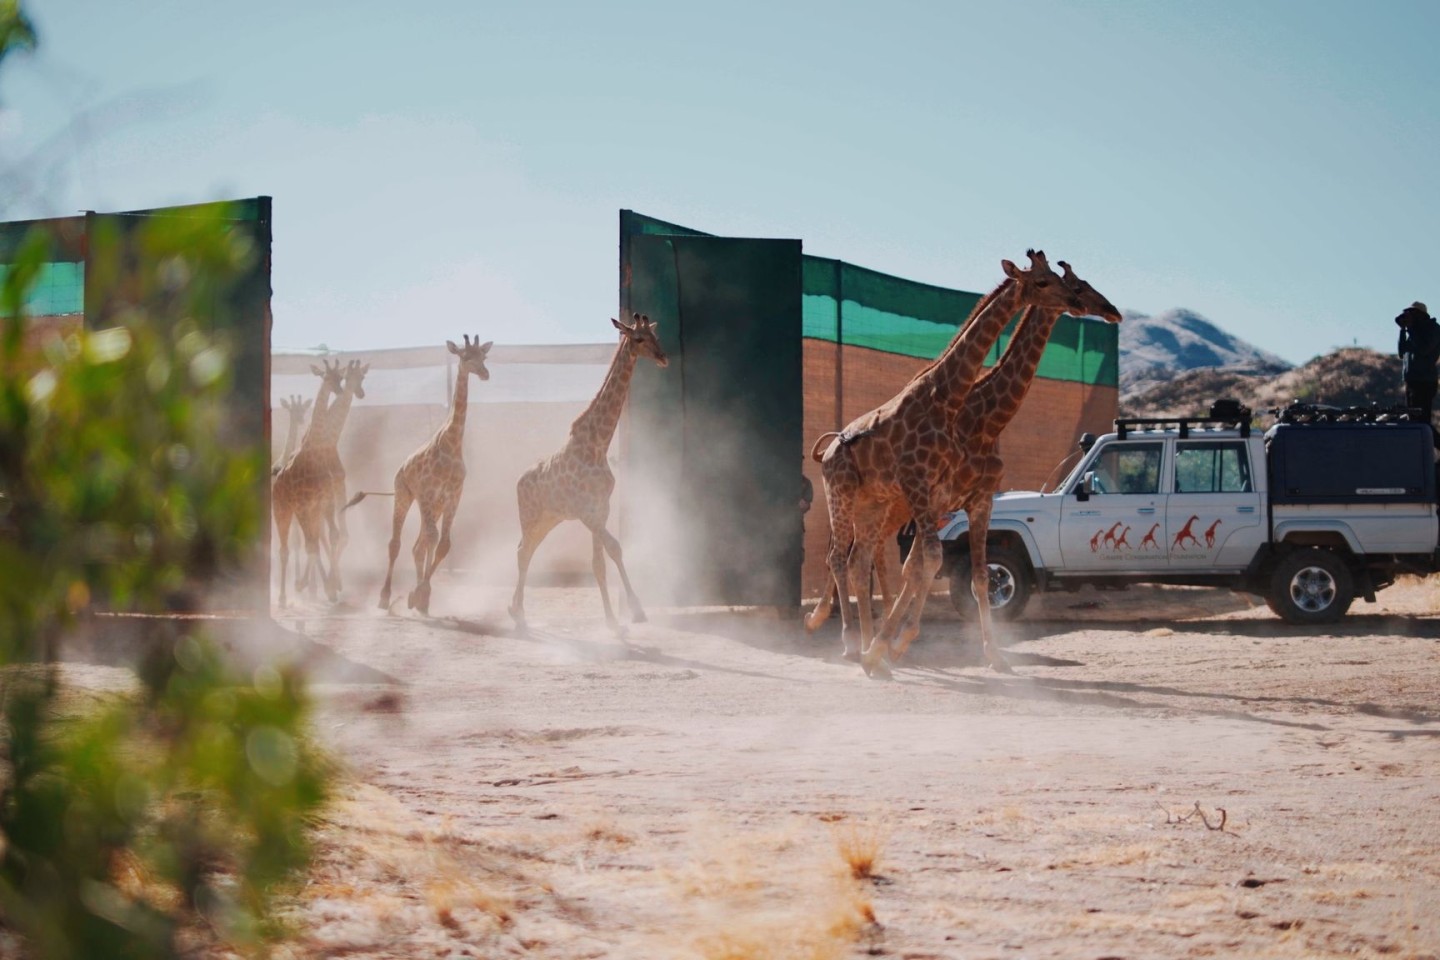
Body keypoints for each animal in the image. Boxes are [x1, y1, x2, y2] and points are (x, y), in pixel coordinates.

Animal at [272, 359, 368, 607]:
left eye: (360, 377)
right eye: (327, 376)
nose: (358, 392)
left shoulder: (330, 494)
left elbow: (335, 536)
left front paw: (332, 586)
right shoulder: (313, 501)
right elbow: (321, 541)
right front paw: (324, 586)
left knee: (314, 539)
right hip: (284, 510)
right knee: (289, 547)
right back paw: (288, 594)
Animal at [362, 338, 492, 616]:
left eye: (484, 357)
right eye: (465, 357)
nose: (485, 373)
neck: (453, 445)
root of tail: (401, 467)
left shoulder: (453, 496)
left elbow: (443, 544)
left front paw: (421, 595)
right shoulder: (426, 493)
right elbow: (432, 540)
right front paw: (417, 593)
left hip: (434, 505)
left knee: (418, 546)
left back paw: (420, 598)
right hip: (404, 495)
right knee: (396, 544)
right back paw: (384, 598)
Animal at [509, 312, 665, 633]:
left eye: (656, 336)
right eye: (638, 338)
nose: (663, 358)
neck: (597, 444)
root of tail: (518, 481)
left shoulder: (601, 509)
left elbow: (601, 562)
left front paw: (615, 620)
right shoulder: (586, 512)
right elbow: (614, 549)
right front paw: (634, 611)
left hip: (548, 519)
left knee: (525, 550)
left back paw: (516, 611)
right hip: (530, 516)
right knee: (522, 552)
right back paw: (517, 615)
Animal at [812, 250, 1082, 667]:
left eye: (1059, 277)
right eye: (1042, 282)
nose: (1076, 302)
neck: (947, 398)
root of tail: (826, 451)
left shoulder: (942, 492)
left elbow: (935, 564)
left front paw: (892, 645)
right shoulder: (920, 484)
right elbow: (931, 559)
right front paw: (894, 643)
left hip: (872, 504)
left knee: (860, 561)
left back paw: (867, 646)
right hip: (839, 496)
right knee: (839, 558)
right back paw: (851, 642)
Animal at [864, 259, 1123, 673]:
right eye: (1078, 286)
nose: (1112, 310)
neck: (986, 420)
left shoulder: (977, 498)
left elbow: (976, 576)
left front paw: (994, 655)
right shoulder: (945, 499)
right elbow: (926, 566)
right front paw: (893, 643)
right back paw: (868, 642)